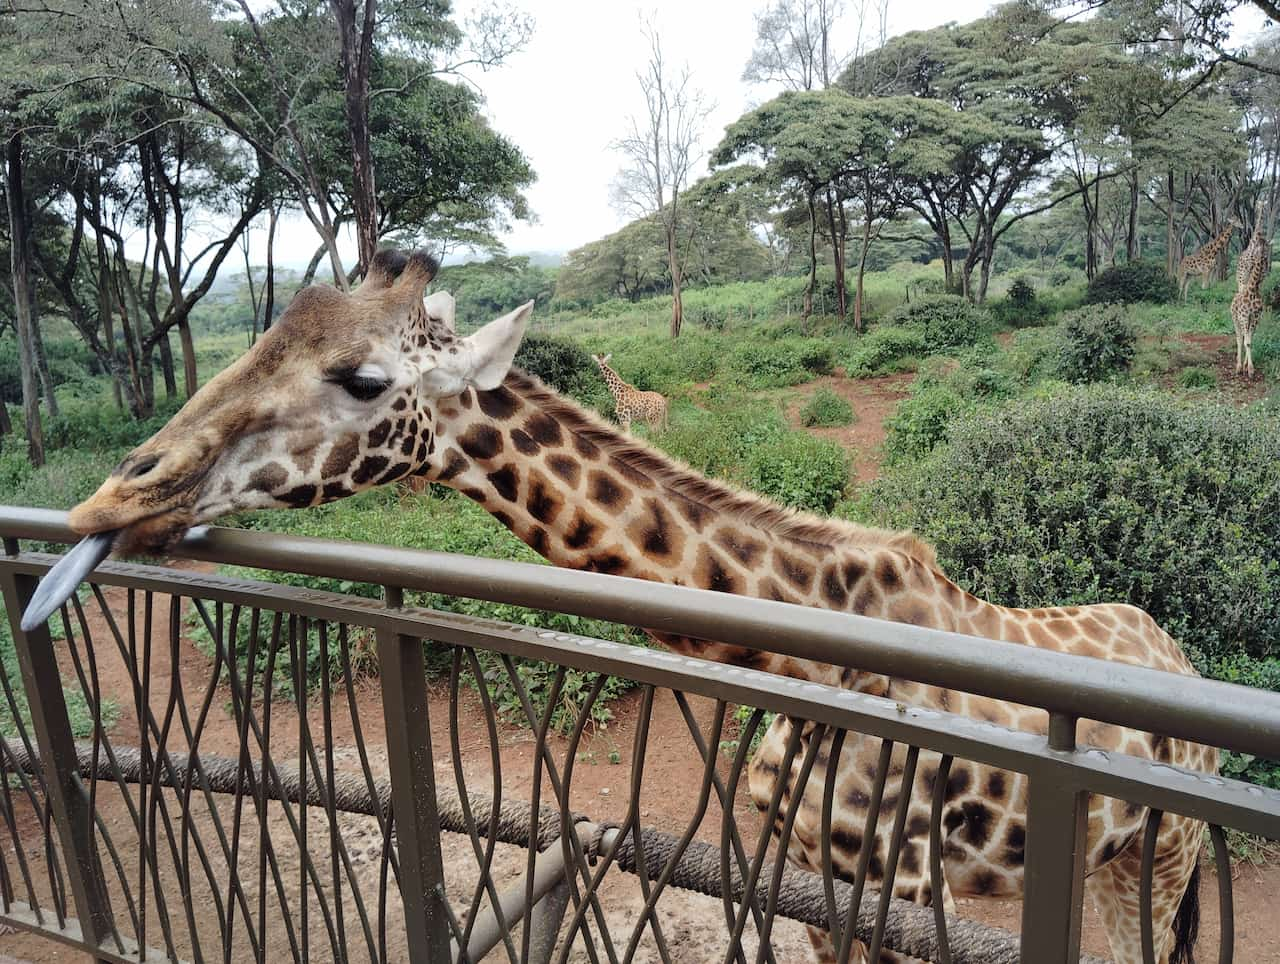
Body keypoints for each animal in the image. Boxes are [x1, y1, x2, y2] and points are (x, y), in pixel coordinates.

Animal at [62, 249, 1218, 962]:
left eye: (361, 378)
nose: (116, 495)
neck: (806, 654)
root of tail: (1184, 660)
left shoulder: (894, 887)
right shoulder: (813, 881)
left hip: (1161, 861)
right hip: (1110, 860)